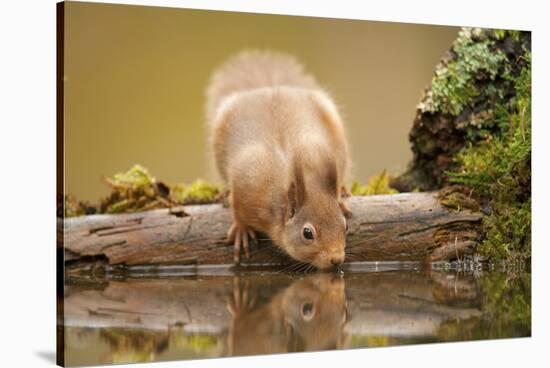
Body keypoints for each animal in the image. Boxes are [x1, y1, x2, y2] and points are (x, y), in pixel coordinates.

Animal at [207, 50, 354, 270]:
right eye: (307, 233)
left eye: (345, 225)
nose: (336, 259)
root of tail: (269, 87)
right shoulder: (247, 183)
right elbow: (238, 208)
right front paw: (241, 229)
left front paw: (339, 197)